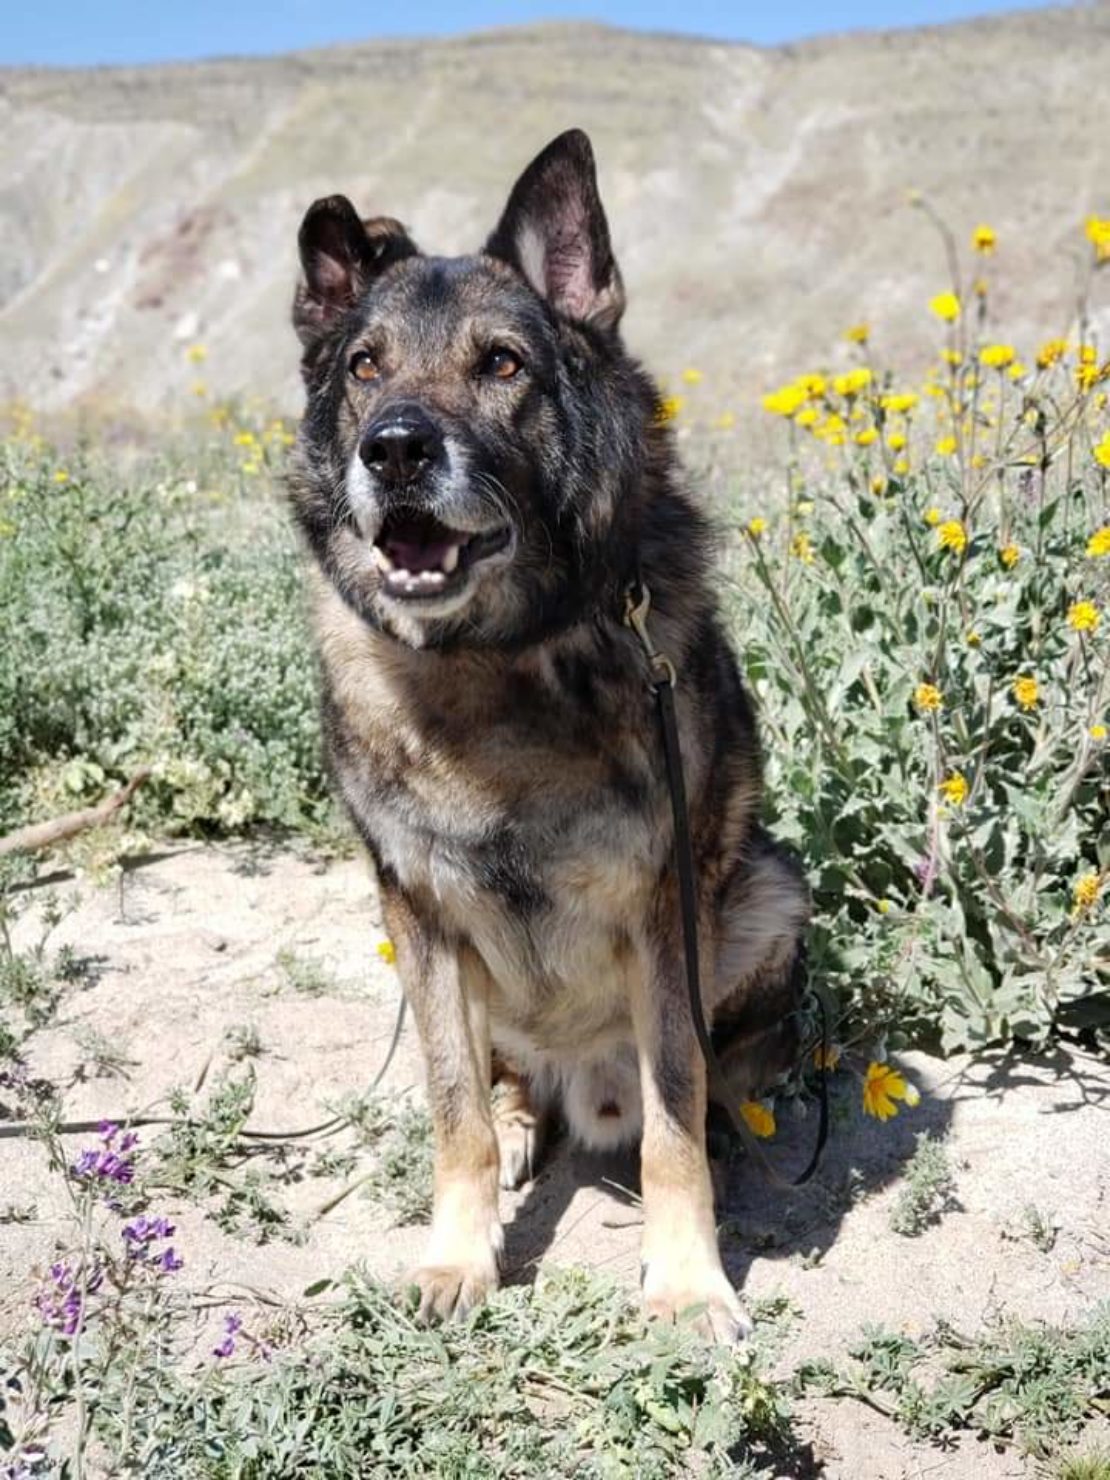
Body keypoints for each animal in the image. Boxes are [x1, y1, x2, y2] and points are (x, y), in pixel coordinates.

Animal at [287, 133, 811, 1349]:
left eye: (502, 364)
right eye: (366, 366)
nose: (393, 451)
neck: (492, 665)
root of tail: (586, 1083)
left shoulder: (666, 908)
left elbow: (676, 1118)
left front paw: (687, 1280)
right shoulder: (417, 913)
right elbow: (452, 1110)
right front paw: (458, 1255)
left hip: (767, 898)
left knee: (707, 1077)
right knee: (502, 1082)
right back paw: (527, 1118)